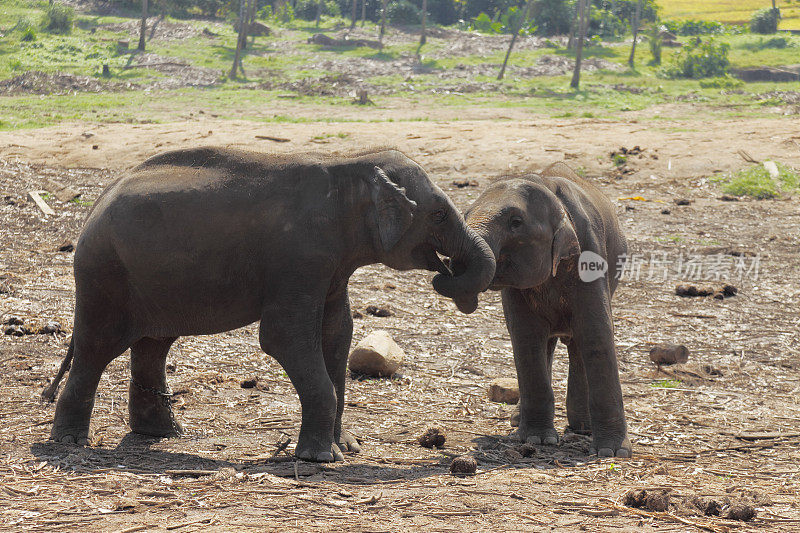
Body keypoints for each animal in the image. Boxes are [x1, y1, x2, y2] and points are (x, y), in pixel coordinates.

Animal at [43, 147, 496, 462]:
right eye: (438, 215)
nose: (449, 273)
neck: (349, 164)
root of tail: (98, 201)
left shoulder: (329, 266)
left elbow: (337, 335)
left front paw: (346, 448)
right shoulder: (299, 257)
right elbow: (285, 338)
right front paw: (320, 458)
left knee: (153, 344)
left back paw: (163, 435)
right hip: (104, 275)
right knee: (98, 347)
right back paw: (71, 441)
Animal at [462, 162, 632, 458]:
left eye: (516, 223)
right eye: (465, 214)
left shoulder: (590, 255)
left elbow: (596, 333)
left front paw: (612, 452)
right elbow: (526, 337)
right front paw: (537, 439)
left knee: (577, 344)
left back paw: (583, 427)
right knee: (548, 344)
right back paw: (519, 421)